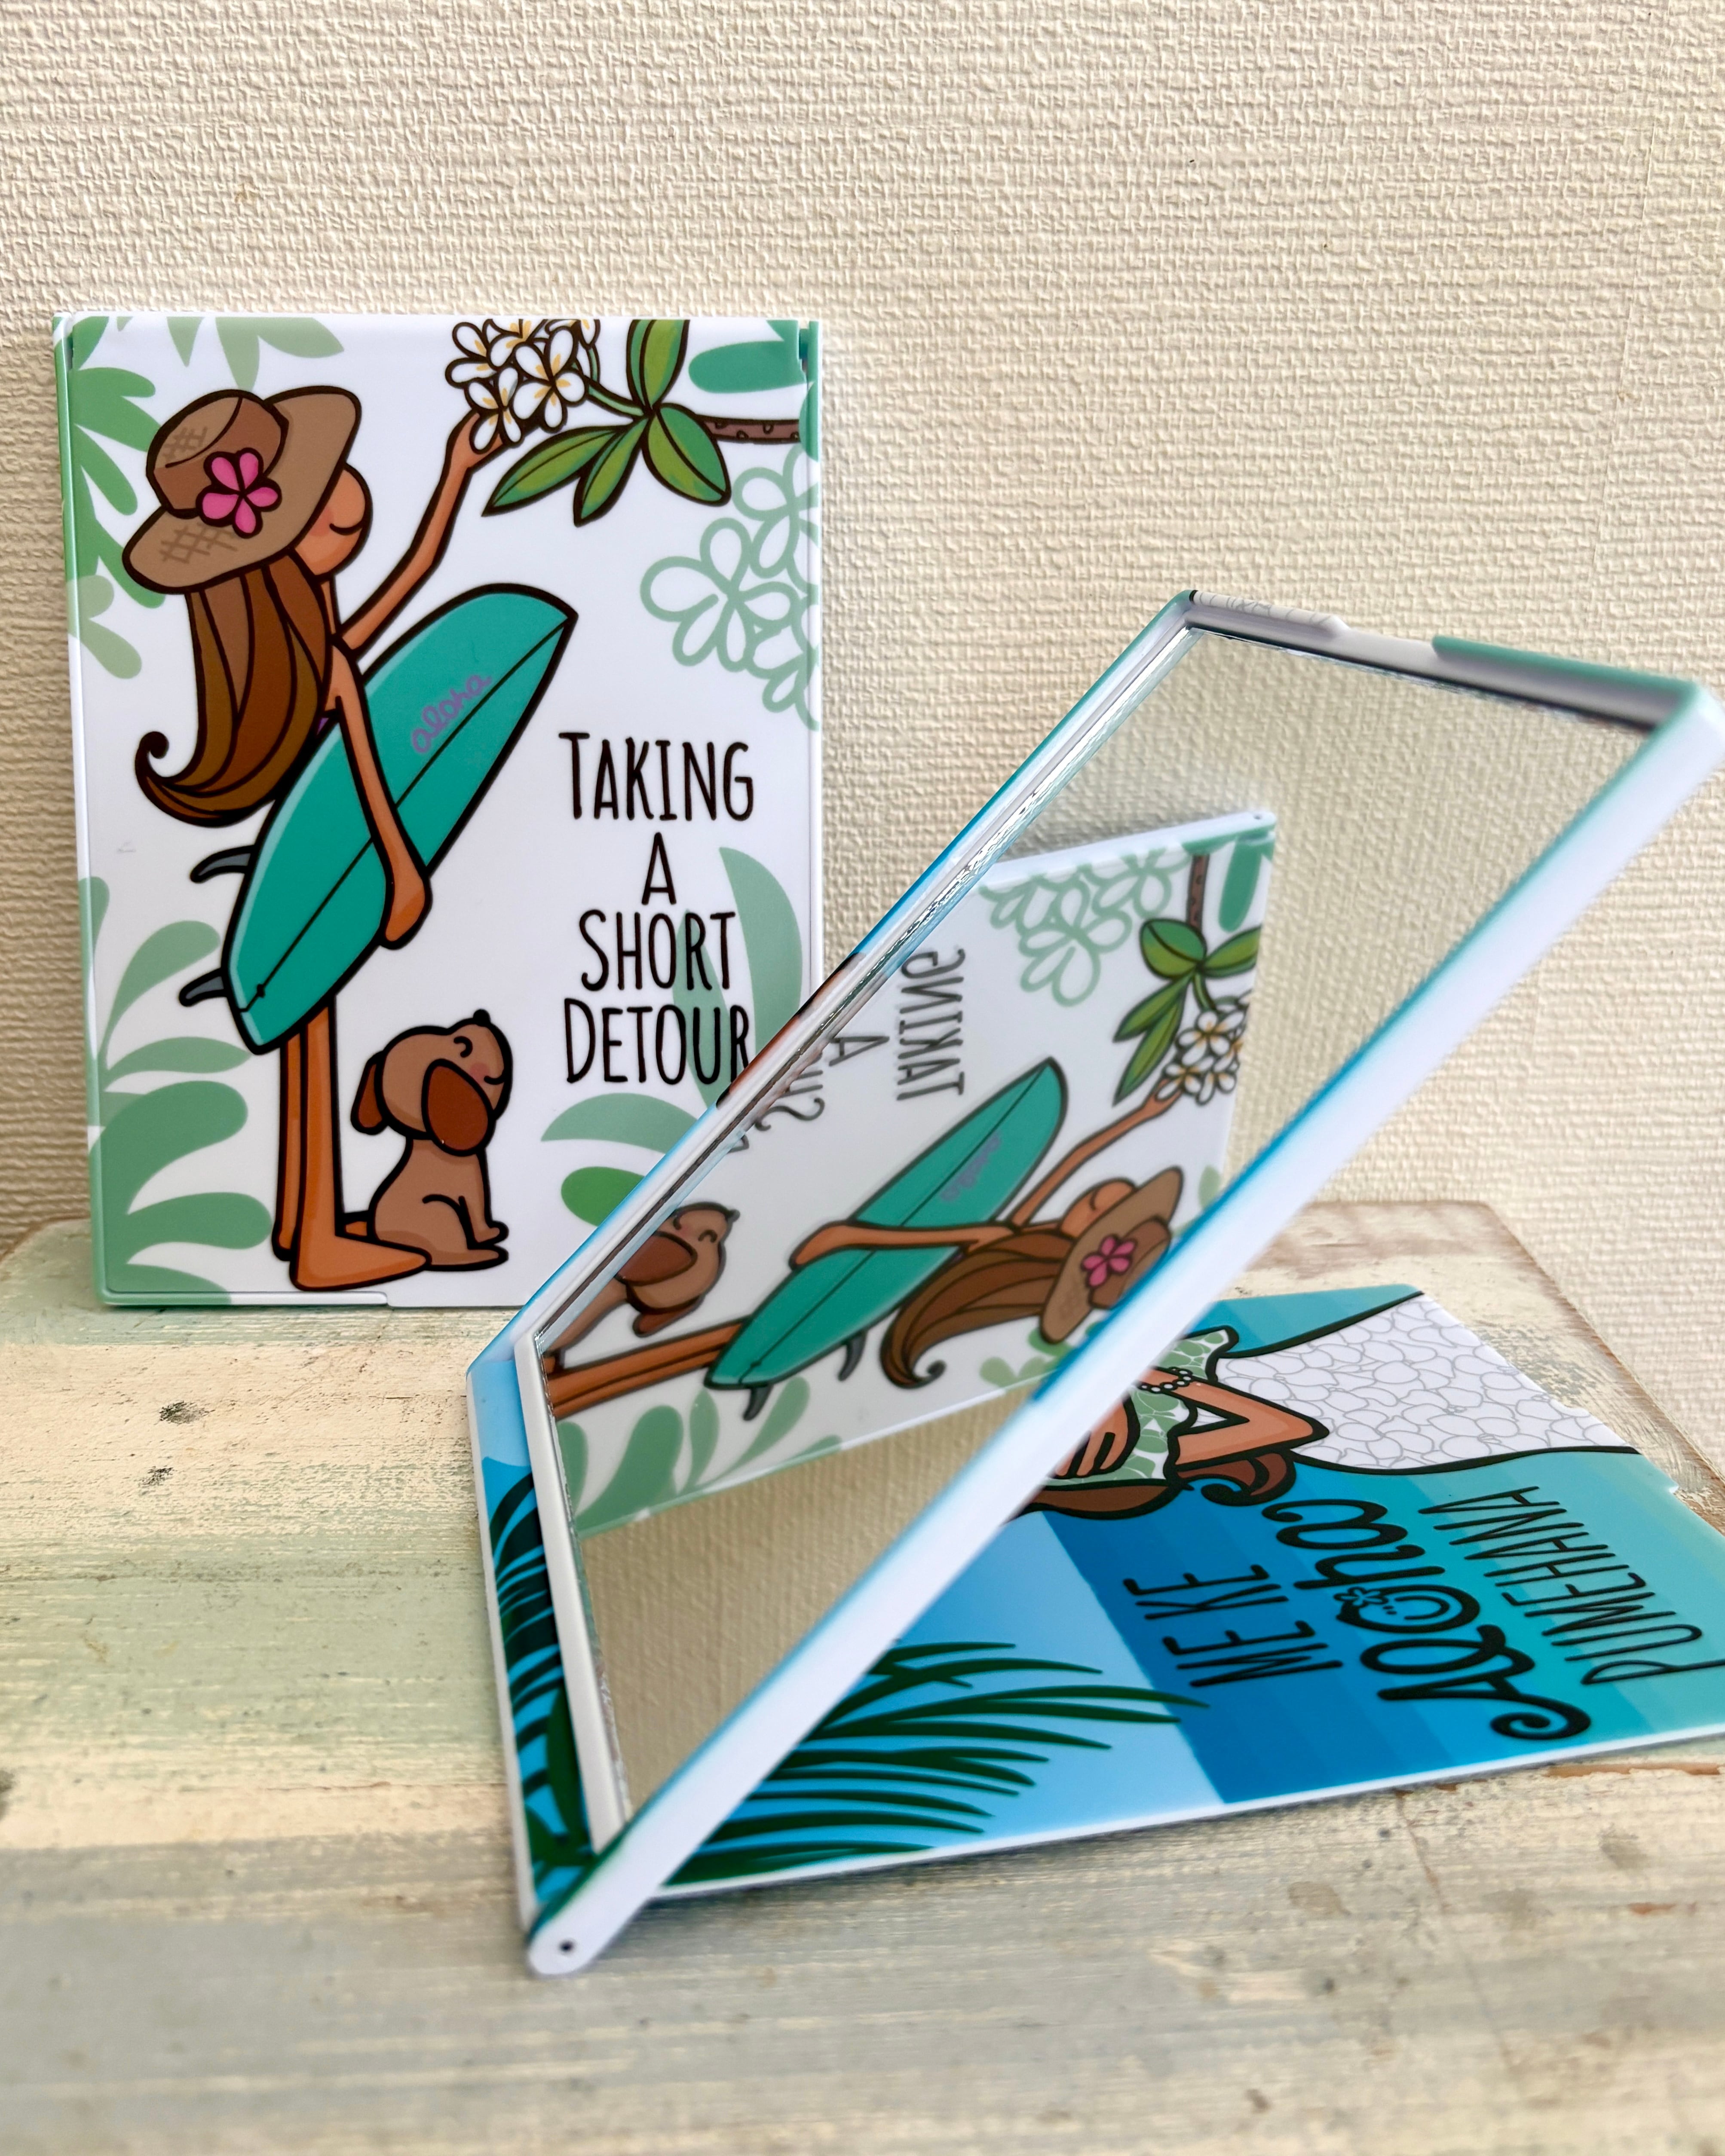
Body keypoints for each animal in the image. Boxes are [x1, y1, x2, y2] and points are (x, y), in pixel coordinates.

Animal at [352, 1013, 512, 1267]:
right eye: (464, 1045)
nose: (481, 1016)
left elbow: (478, 1216)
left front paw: (490, 1233)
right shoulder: (470, 1188)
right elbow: (475, 1211)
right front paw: (490, 1237)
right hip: (441, 1212)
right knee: (447, 1255)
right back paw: (484, 1255)